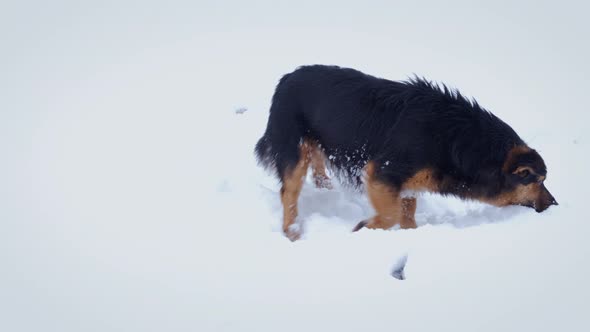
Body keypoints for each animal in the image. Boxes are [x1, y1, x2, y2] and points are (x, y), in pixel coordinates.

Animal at [256, 65, 560, 241]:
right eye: (538, 180)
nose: (555, 205)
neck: (457, 141)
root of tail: (286, 78)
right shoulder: (382, 173)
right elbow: (389, 215)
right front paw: (363, 229)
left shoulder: (408, 185)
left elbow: (407, 216)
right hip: (293, 147)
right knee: (289, 191)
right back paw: (292, 230)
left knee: (316, 164)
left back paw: (324, 186)